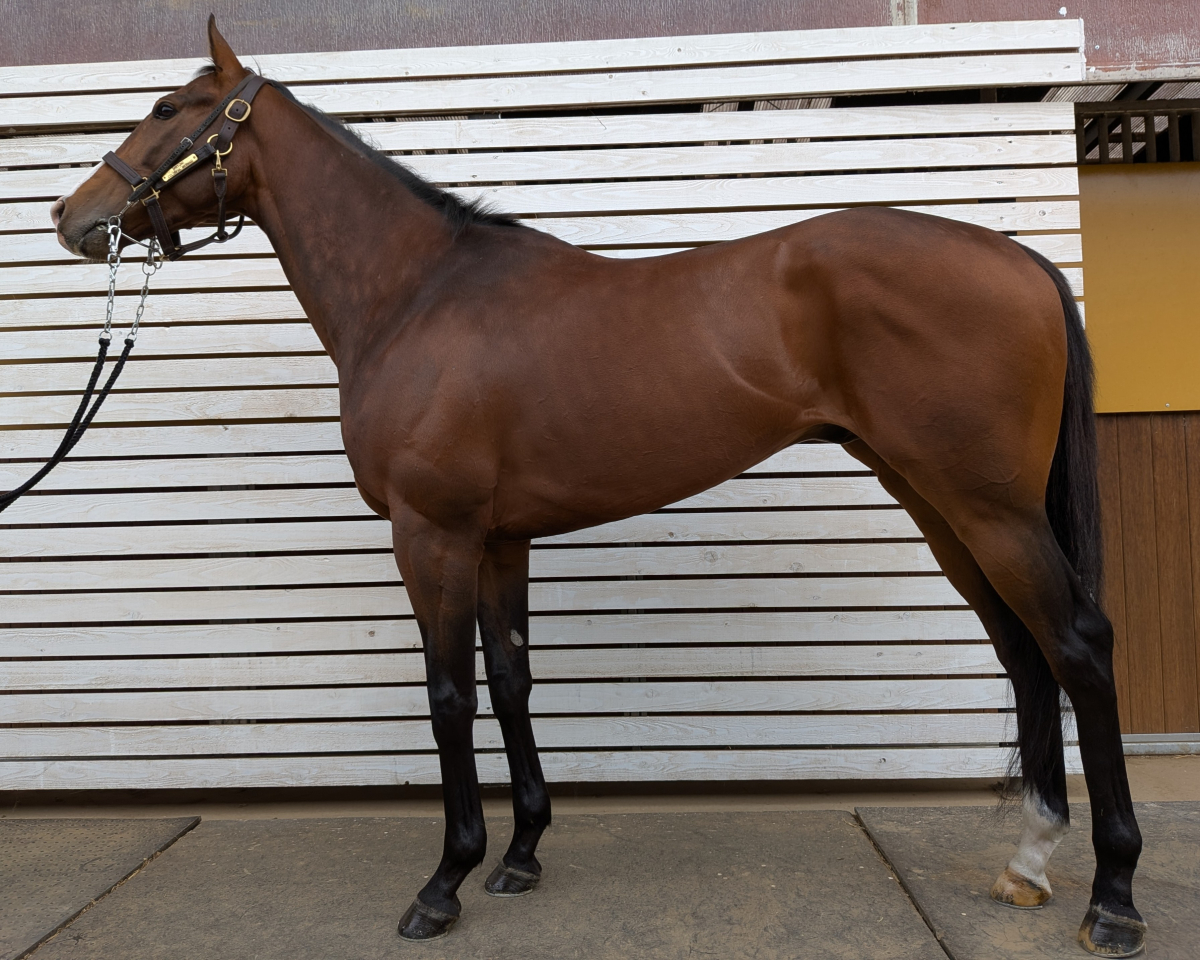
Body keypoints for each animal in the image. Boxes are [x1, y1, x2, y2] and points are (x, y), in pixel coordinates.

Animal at [49, 17, 1146, 956]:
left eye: (166, 108)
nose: (72, 216)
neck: (416, 296)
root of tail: (1020, 259)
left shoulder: (433, 532)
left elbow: (449, 693)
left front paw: (443, 883)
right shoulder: (500, 537)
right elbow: (512, 678)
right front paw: (522, 855)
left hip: (987, 506)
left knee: (1077, 643)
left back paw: (1114, 898)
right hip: (939, 502)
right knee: (1021, 648)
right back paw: (1030, 860)